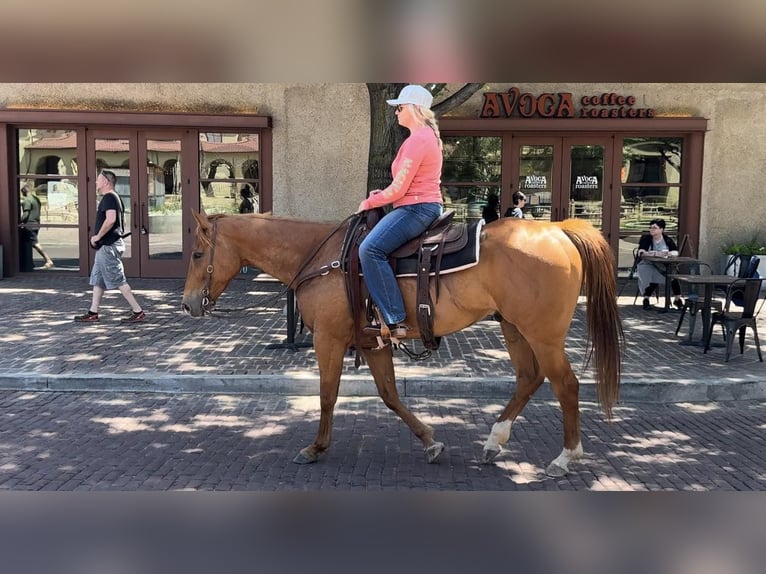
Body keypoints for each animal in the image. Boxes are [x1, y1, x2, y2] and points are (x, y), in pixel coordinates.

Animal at [184, 212, 624, 476]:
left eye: (197, 253)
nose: (188, 304)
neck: (323, 259)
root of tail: (558, 228)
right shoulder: (373, 343)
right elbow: (390, 394)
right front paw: (430, 441)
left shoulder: (328, 339)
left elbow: (327, 395)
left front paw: (316, 447)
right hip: (515, 328)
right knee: (529, 379)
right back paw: (493, 442)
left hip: (542, 334)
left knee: (566, 386)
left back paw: (566, 457)